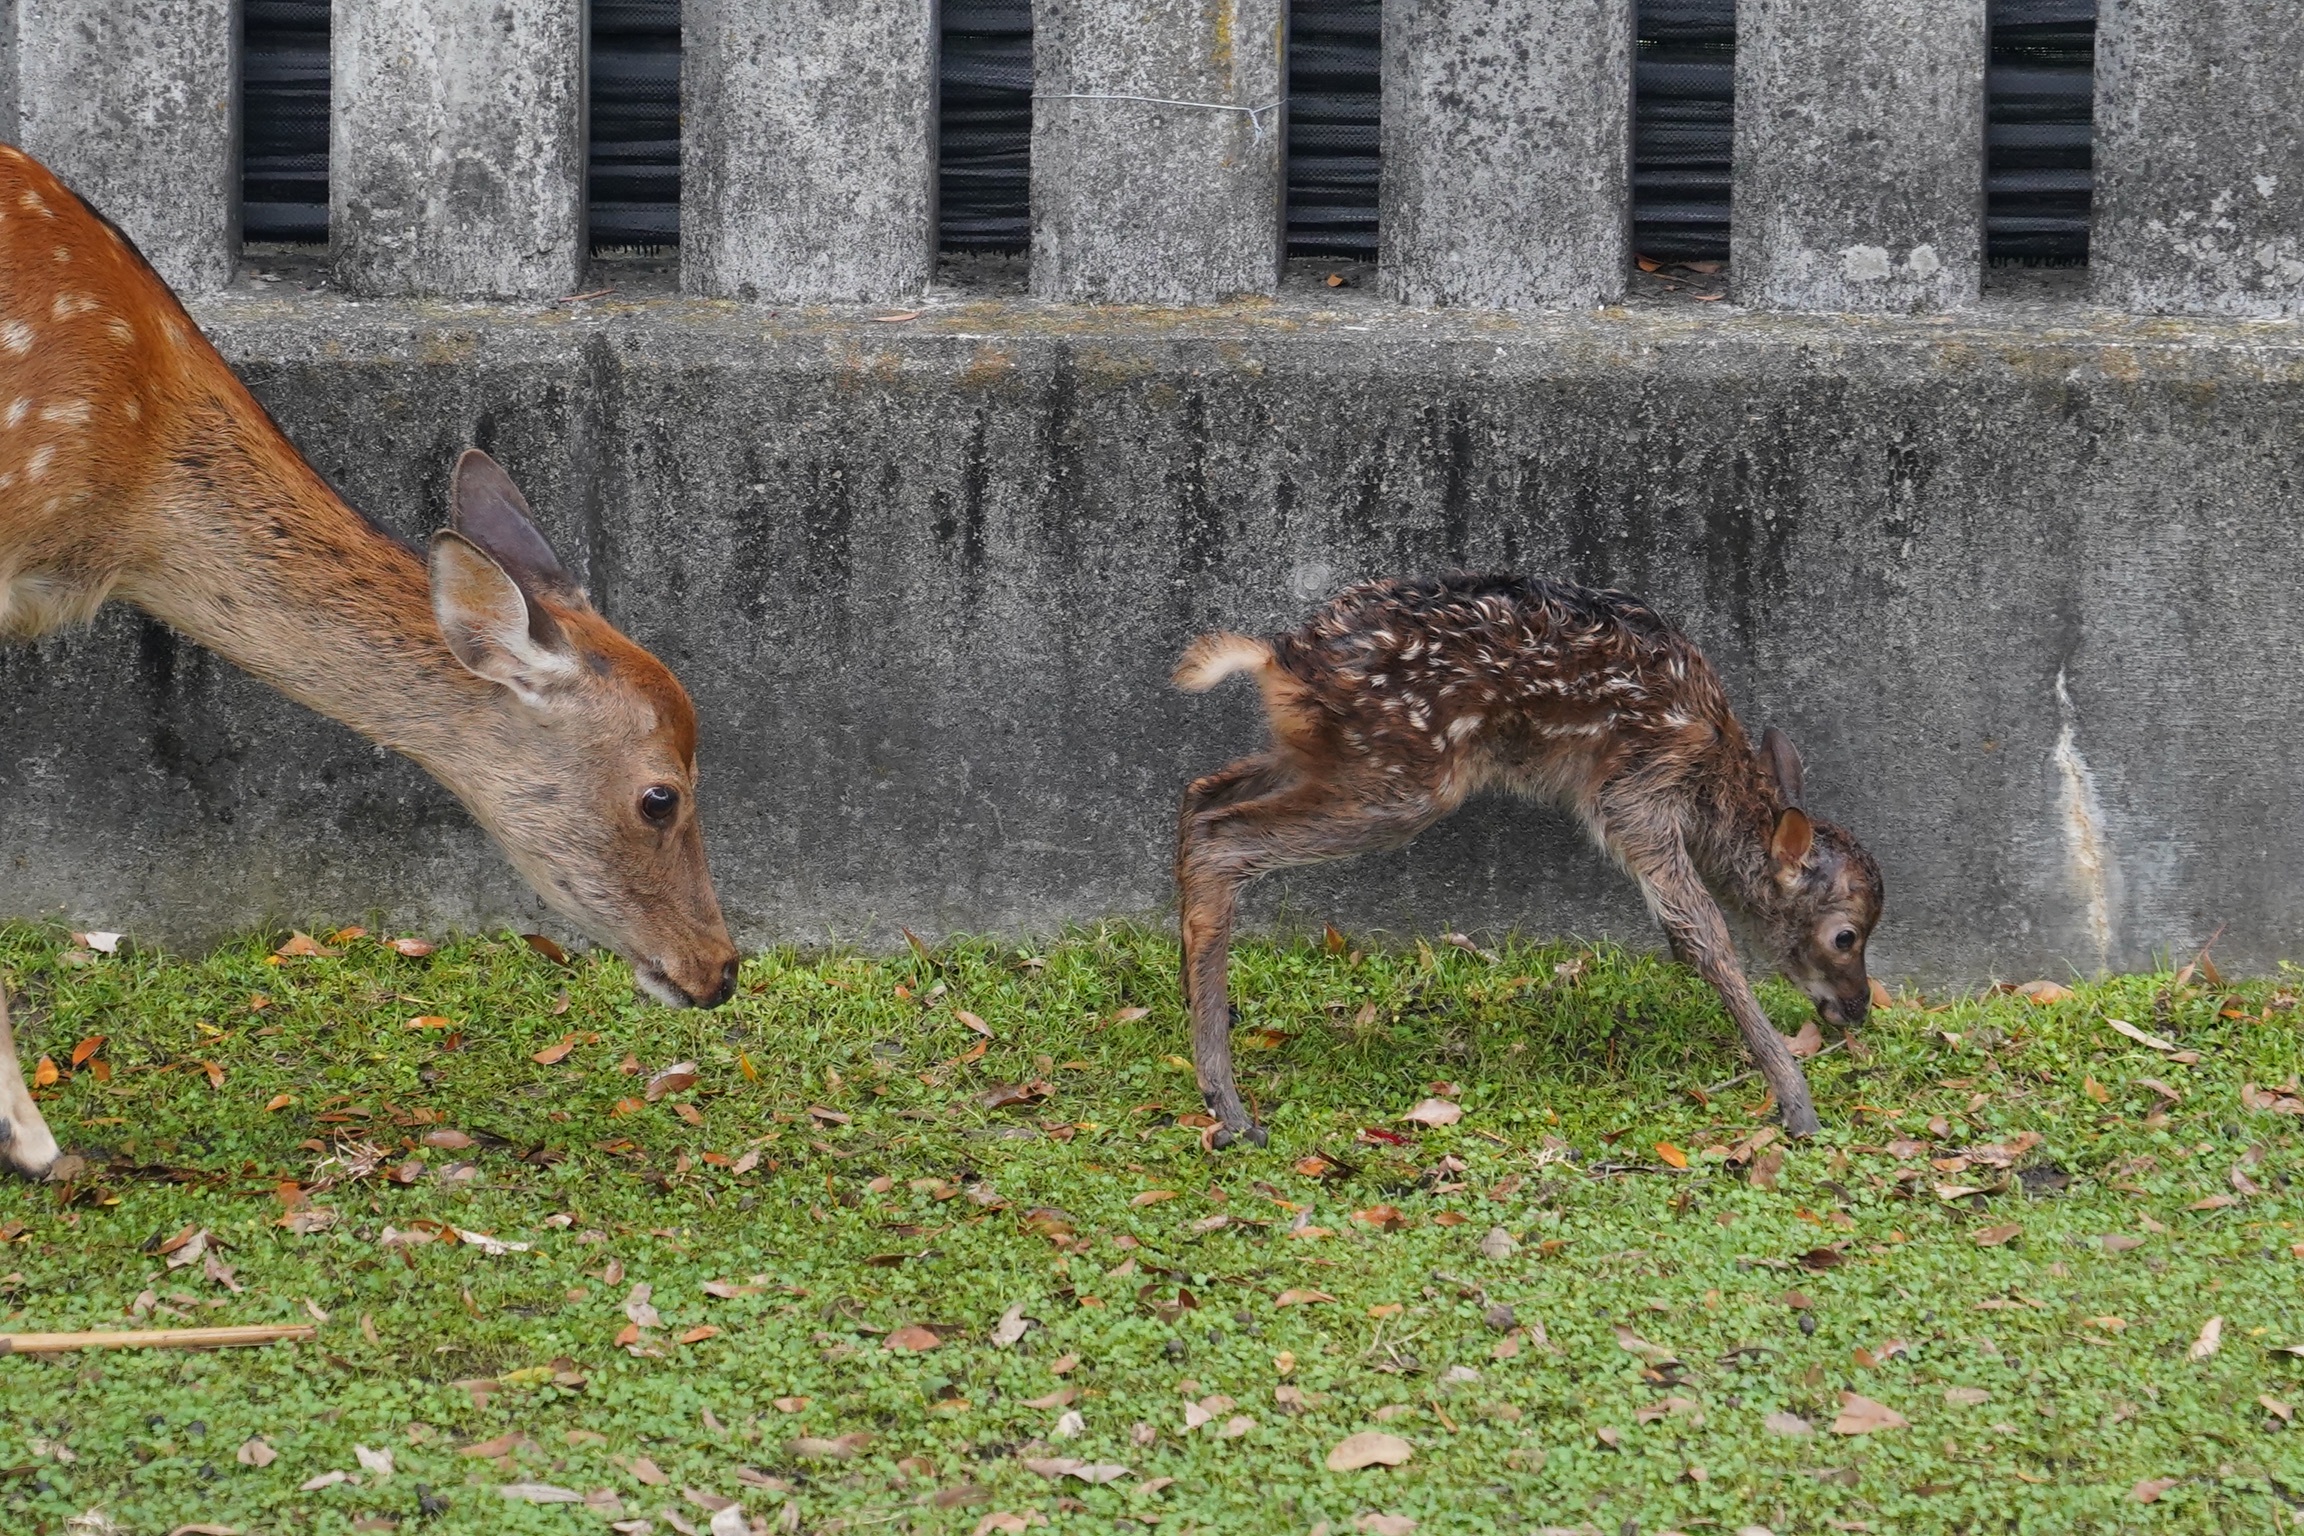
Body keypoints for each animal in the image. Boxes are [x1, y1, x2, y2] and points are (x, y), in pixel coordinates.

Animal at [1173, 572, 1884, 1147]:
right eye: (1845, 936)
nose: (1858, 1009)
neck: (1712, 781)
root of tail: (1277, 658)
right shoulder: (1634, 792)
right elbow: (1700, 935)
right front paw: (1797, 1102)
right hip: (1400, 779)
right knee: (1221, 838)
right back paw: (1229, 1107)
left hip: (1317, 758)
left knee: (1201, 795)